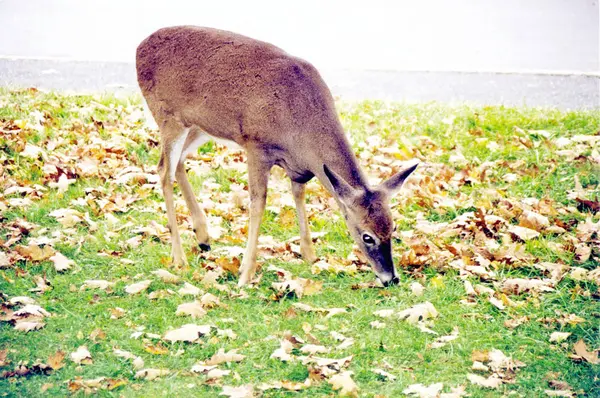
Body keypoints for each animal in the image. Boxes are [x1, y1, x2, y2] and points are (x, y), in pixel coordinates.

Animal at [136, 25, 418, 286]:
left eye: (393, 227)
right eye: (366, 236)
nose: (392, 278)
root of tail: (140, 46)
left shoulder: (298, 168)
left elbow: (298, 195)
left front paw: (310, 256)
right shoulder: (256, 145)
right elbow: (258, 203)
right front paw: (245, 274)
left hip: (199, 126)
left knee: (178, 162)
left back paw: (203, 237)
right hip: (167, 115)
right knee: (163, 170)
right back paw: (179, 258)